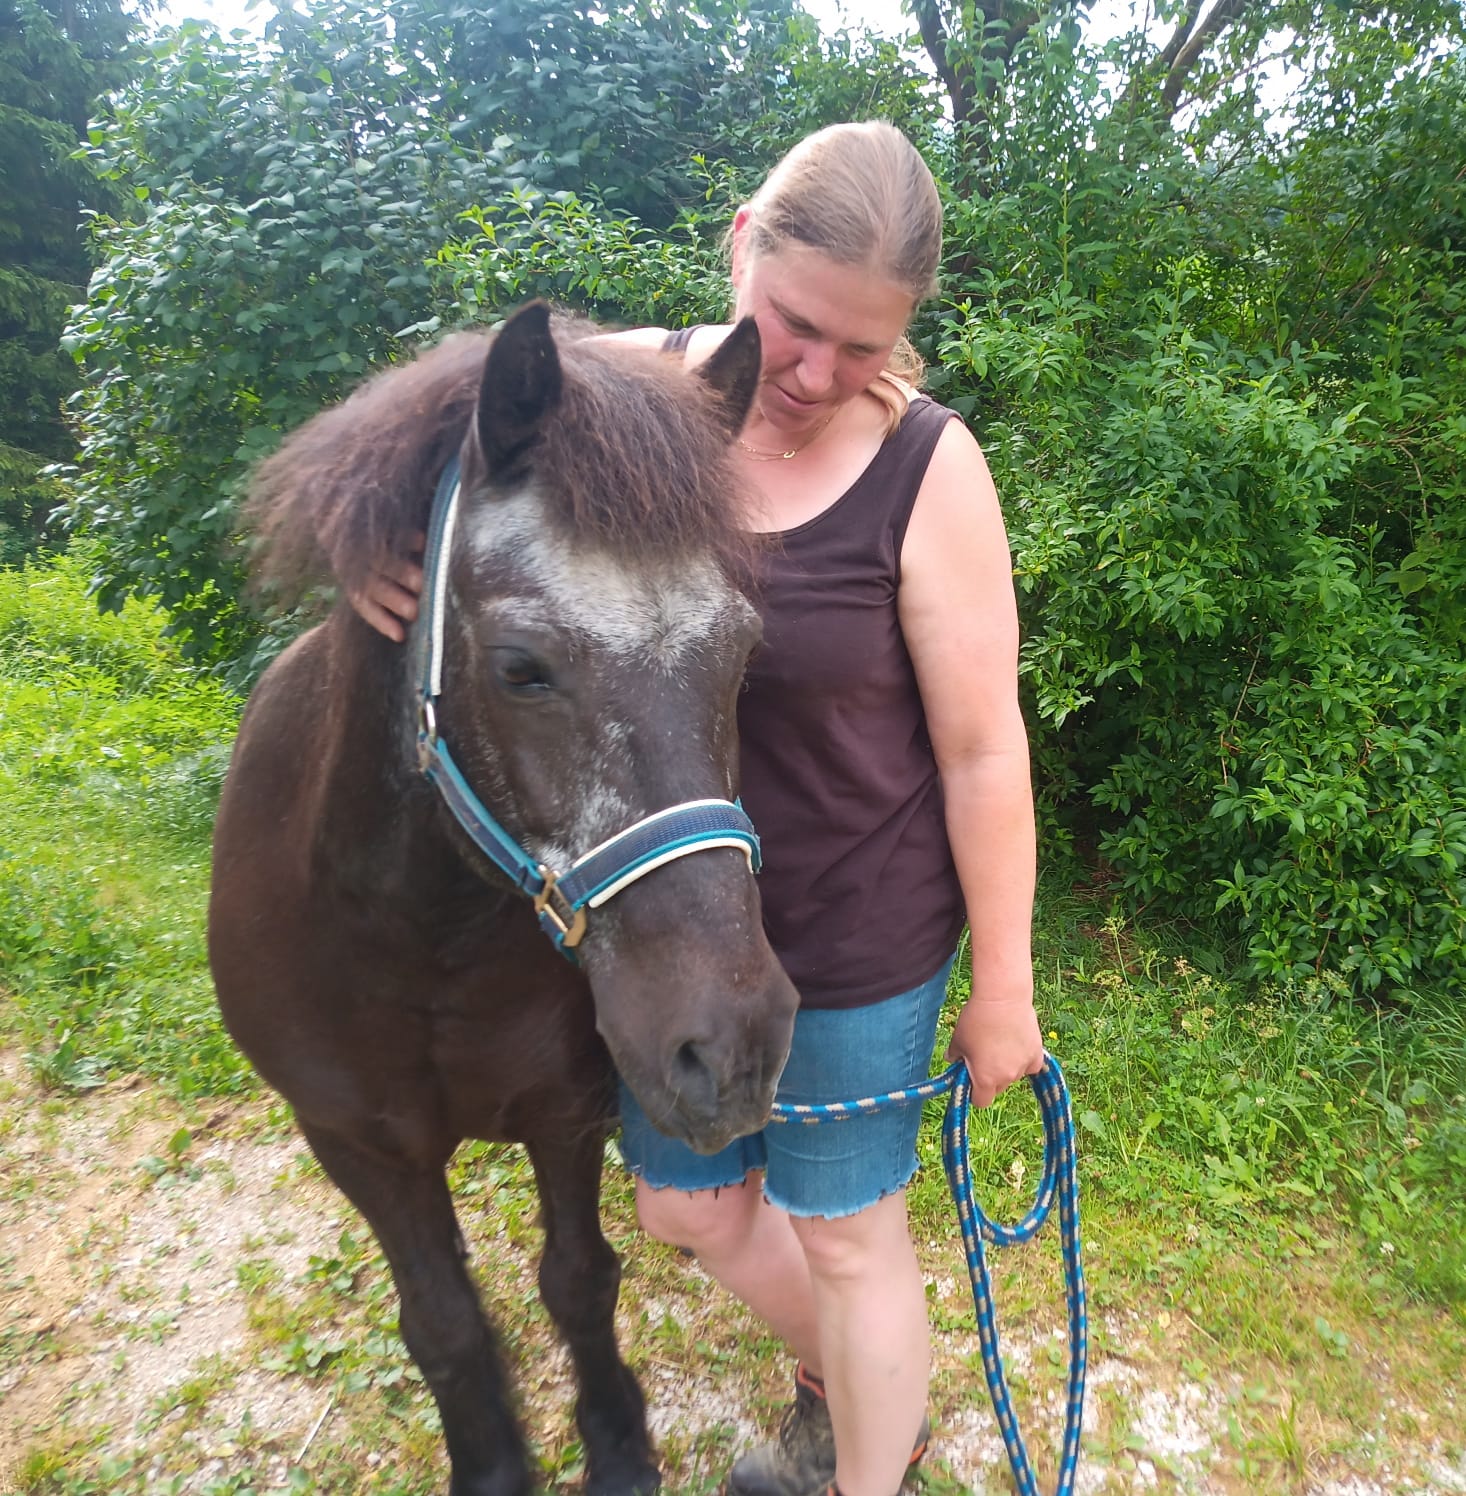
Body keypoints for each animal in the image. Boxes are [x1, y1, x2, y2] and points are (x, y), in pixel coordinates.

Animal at [207, 304, 800, 1496]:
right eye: (523, 667)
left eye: (744, 649)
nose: (733, 1048)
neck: (417, 938)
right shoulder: (355, 1144)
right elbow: (440, 1321)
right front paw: (493, 1462)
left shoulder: (566, 1114)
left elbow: (578, 1279)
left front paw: (616, 1446)